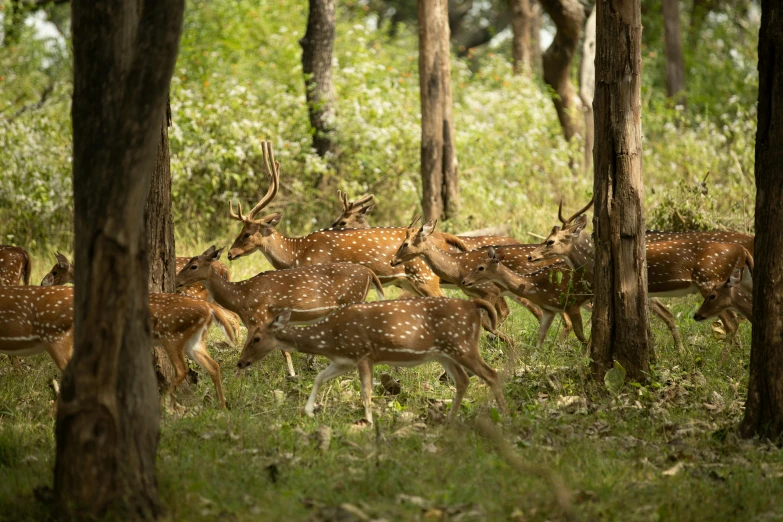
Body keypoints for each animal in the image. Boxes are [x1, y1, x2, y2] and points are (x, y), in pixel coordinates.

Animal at [39, 254, 236, 408]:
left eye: (55, 271)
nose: (42, 283)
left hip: (175, 334)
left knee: (183, 368)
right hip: (193, 339)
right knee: (214, 363)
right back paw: (222, 404)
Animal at [177, 244, 386, 374]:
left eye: (193, 266)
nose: (177, 281)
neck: (241, 297)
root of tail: (370, 273)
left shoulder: (258, 317)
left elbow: (251, 348)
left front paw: (237, 376)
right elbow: (282, 350)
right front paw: (292, 373)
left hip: (352, 300)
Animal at [227, 140, 472, 296]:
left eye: (246, 233)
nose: (229, 253)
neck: (296, 254)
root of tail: (441, 237)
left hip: (426, 277)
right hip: (410, 283)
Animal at [237, 296, 508, 422]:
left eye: (256, 338)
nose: (240, 362)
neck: (329, 338)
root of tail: (473, 306)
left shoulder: (364, 353)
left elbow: (365, 391)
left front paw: (367, 422)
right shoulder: (343, 360)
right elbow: (319, 378)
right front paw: (309, 411)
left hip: (462, 345)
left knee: (491, 374)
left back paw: (504, 416)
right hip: (445, 353)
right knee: (463, 380)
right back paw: (450, 419)